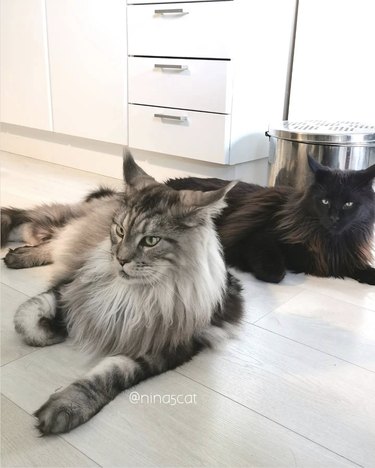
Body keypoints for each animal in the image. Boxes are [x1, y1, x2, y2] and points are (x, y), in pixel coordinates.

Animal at [0, 154, 244, 436]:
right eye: (119, 231)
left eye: (151, 241)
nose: (120, 259)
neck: (139, 294)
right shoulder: (72, 287)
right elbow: (26, 317)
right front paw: (54, 329)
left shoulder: (167, 343)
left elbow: (113, 372)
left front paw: (69, 406)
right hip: (70, 227)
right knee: (35, 224)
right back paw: (19, 254)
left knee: (43, 234)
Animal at [167, 155, 375, 284]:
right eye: (325, 201)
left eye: (348, 204)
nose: (333, 218)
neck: (328, 242)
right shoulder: (260, 237)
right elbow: (275, 272)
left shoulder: (343, 259)